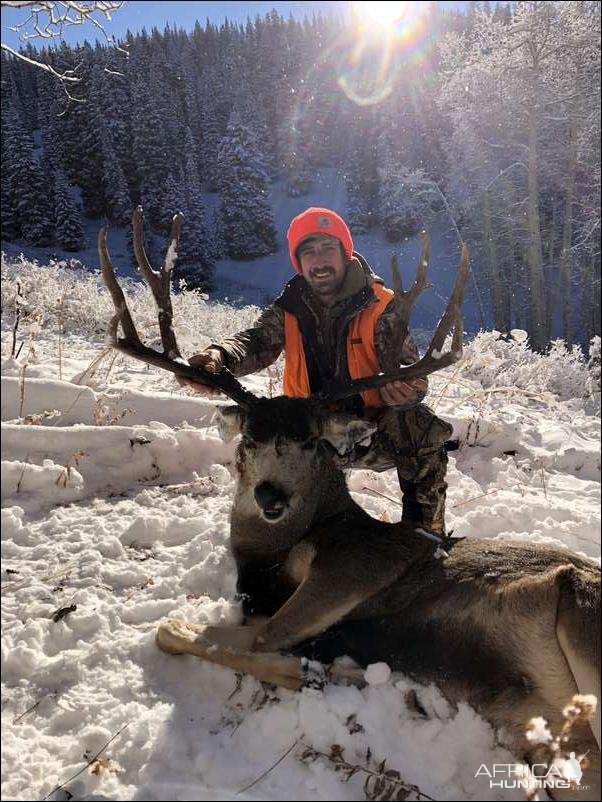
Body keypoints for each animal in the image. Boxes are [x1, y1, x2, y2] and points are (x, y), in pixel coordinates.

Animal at [101, 209, 596, 796]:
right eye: (249, 440)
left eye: (310, 442)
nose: (270, 495)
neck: (269, 556)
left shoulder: (352, 567)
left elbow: (223, 633)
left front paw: (341, 670)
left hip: (583, 609)